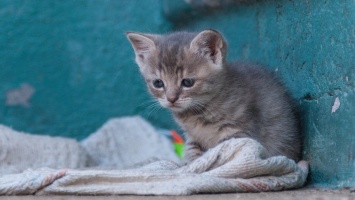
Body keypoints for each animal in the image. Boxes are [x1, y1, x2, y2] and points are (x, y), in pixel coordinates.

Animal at [126, 29, 302, 162]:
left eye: (187, 82)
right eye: (158, 83)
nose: (171, 99)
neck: (196, 114)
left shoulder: (237, 132)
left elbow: (225, 153)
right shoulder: (192, 137)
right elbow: (192, 153)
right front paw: (188, 166)